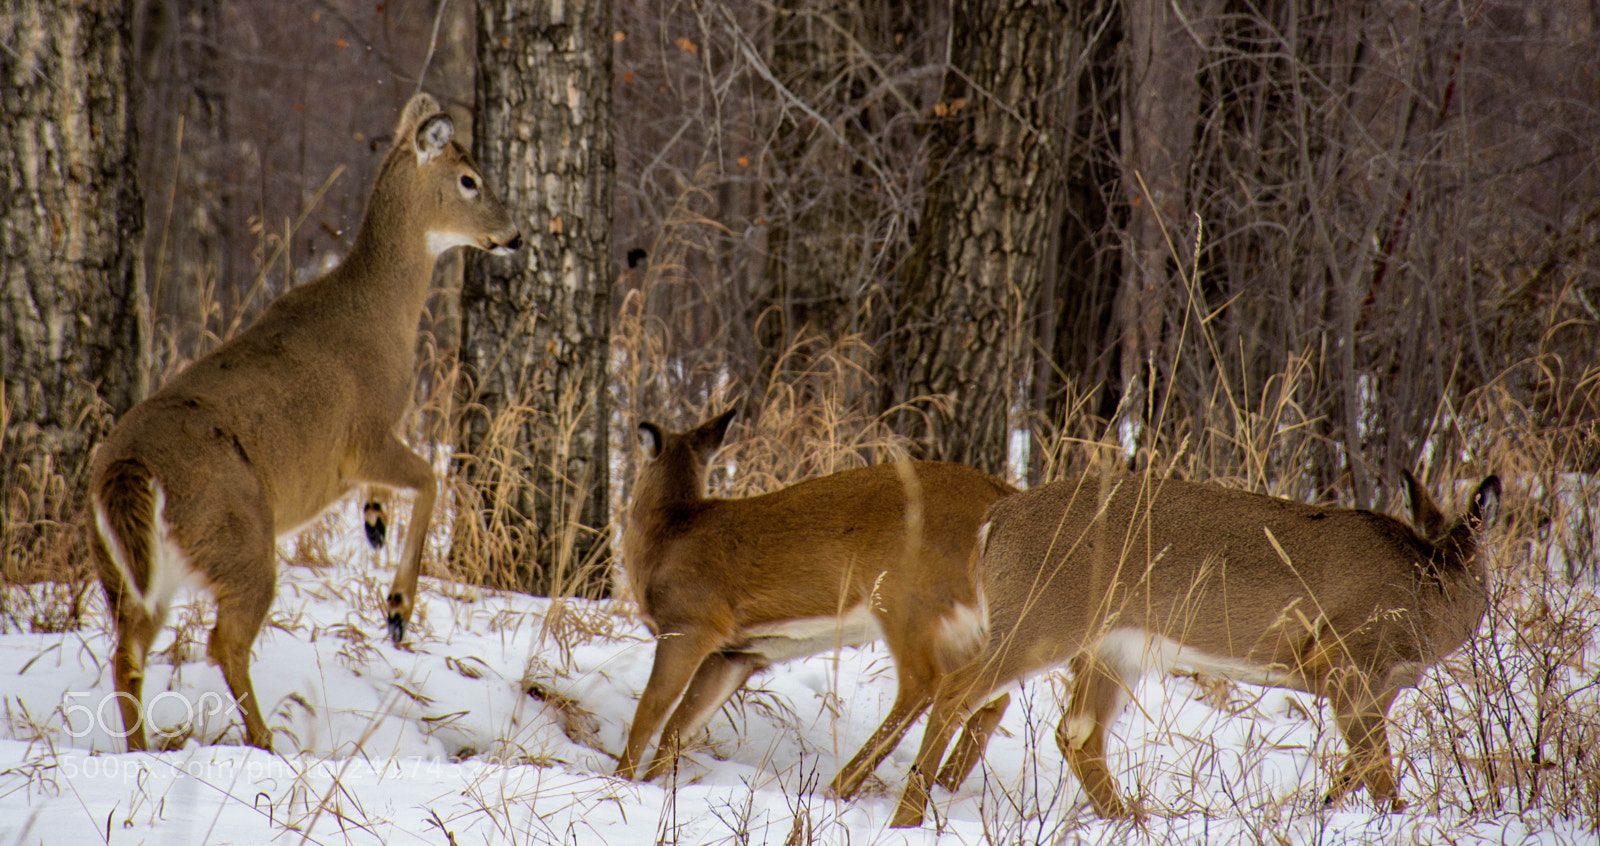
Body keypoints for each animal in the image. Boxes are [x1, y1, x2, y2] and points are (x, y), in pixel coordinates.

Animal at [87, 92, 521, 752]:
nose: (514, 235)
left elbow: (406, 486)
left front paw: (374, 520)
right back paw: (267, 740)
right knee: (222, 641)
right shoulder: (363, 434)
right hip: (241, 532)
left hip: (126, 572)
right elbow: (429, 478)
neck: (382, 313)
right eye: (469, 179)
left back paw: (146, 751)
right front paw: (398, 606)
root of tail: (130, 469)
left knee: (127, 654)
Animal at [614, 410, 1016, 797]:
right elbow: (679, 726)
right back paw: (943, 786)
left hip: (906, 597)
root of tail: (1003, 495)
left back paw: (841, 786)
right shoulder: (736, 655)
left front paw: (622, 780)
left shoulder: (689, 621)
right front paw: (652, 782)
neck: (667, 537)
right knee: (990, 694)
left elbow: (650, 712)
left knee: (926, 684)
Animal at [891, 469, 1501, 827]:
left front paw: (1320, 813)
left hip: (1112, 647)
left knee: (1076, 731)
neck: (1429, 586)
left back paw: (1130, 821)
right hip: (1038, 621)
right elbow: (1378, 771)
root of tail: (995, 522)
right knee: (954, 694)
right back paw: (907, 819)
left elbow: (1354, 767)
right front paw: (1397, 820)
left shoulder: (1380, 685)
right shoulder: (1353, 665)